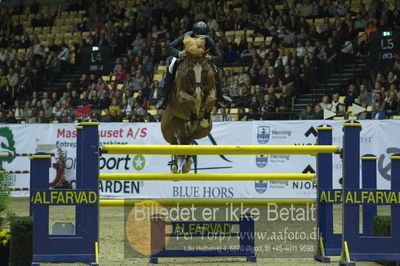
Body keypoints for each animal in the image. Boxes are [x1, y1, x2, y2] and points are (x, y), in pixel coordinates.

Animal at [160, 35, 217, 174]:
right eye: (190, 71)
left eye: (204, 71)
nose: (198, 93)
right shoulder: (181, 95)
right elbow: (191, 101)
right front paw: (193, 118)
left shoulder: (211, 90)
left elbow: (210, 99)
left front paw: (202, 119)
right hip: (167, 129)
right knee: (174, 142)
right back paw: (174, 166)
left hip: (203, 132)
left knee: (189, 140)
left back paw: (187, 162)